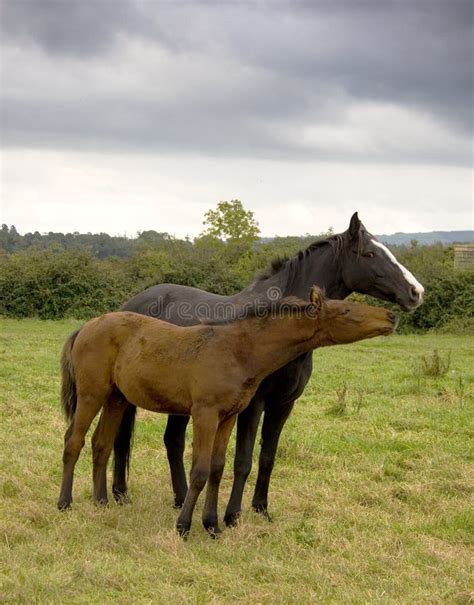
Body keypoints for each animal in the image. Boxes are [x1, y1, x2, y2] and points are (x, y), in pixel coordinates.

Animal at [56, 286, 396, 536]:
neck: (236, 350)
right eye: (346, 311)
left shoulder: (229, 417)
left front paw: (212, 525)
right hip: (92, 394)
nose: (391, 316)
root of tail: (85, 327)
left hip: (115, 398)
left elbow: (218, 469)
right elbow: (200, 470)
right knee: (74, 441)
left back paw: (101, 502)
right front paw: (184, 526)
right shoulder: (205, 414)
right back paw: (65, 503)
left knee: (101, 444)